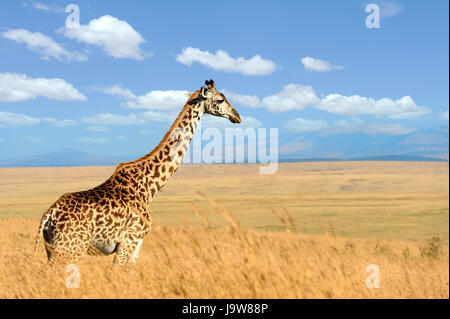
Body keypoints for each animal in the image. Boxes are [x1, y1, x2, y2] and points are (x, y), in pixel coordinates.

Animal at [34, 79, 243, 264]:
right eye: (220, 100)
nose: (237, 116)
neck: (150, 185)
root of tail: (49, 215)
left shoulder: (137, 244)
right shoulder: (129, 240)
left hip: (53, 250)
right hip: (70, 249)